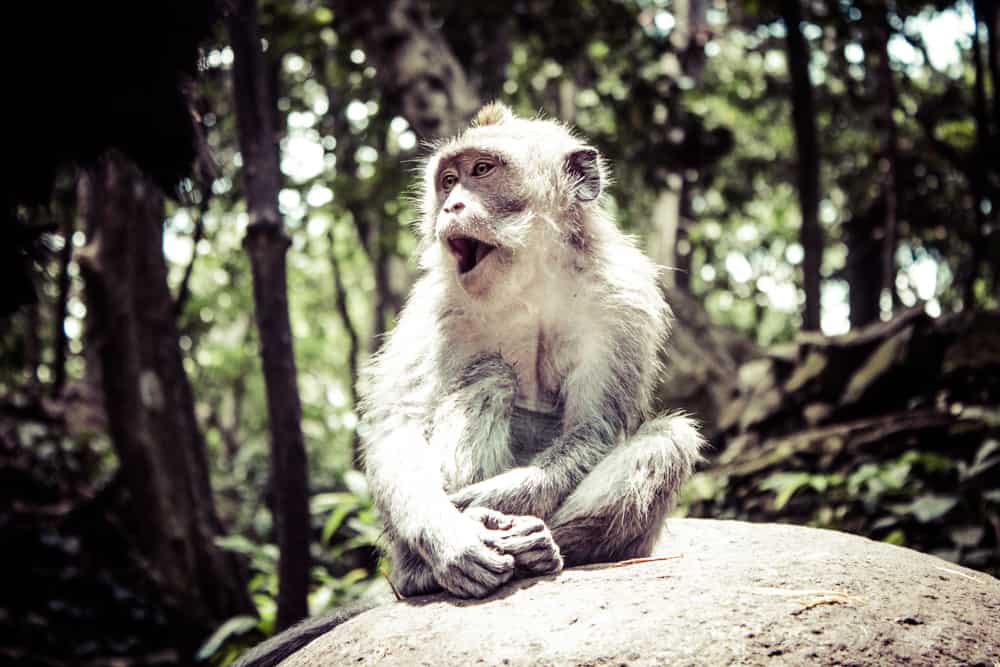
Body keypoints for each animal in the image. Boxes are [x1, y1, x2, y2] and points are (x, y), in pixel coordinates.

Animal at [232, 102, 704, 664]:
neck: (529, 277)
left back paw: (541, 544)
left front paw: (477, 507)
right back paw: (427, 572)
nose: (452, 205)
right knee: (490, 376)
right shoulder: (436, 303)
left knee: (668, 441)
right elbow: (398, 425)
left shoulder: (623, 296)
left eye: (483, 171)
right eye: (449, 180)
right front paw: (450, 531)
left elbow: (596, 428)